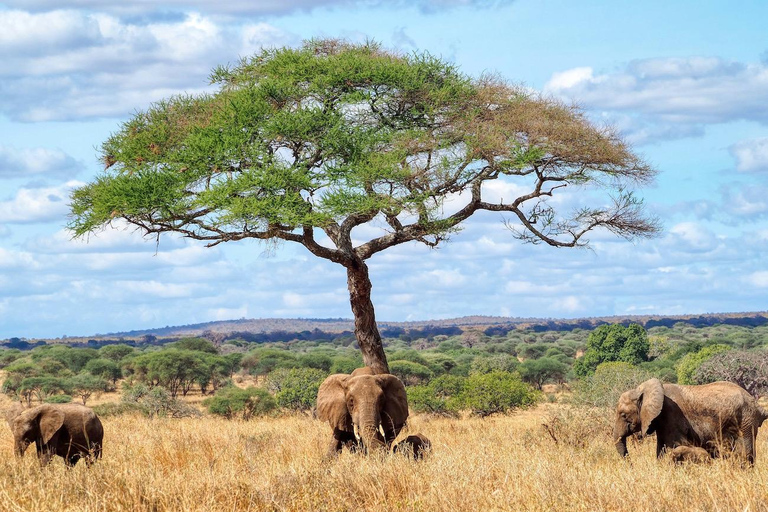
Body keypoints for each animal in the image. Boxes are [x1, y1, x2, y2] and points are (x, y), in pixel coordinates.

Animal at [612, 376, 768, 464]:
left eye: (623, 415)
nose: (631, 465)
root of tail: (757, 406)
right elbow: (661, 450)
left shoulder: (671, 415)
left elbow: (674, 447)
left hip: (745, 422)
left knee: (743, 454)